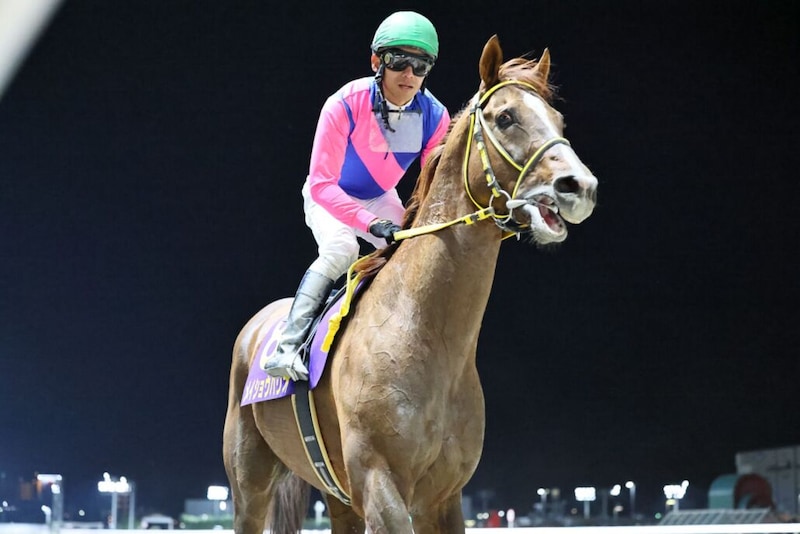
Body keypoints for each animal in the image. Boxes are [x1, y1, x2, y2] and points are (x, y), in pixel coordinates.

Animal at [223, 35, 598, 534]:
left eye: (558, 119)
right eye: (506, 117)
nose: (580, 186)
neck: (425, 332)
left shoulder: (445, 497)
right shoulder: (380, 484)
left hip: (338, 497)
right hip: (250, 484)